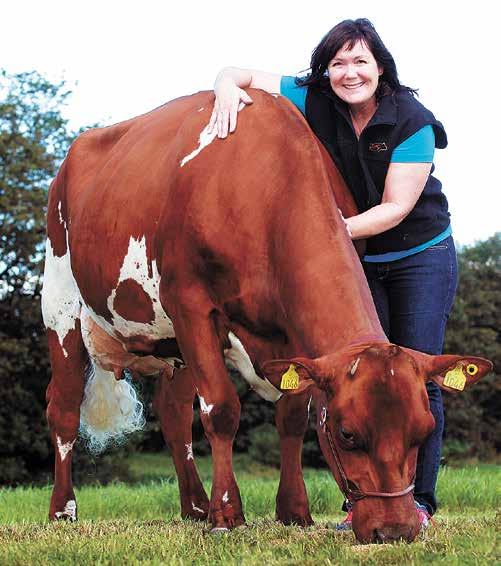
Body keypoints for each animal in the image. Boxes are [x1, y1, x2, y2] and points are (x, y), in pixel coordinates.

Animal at [41, 89, 492, 543]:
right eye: (347, 434)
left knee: (173, 413)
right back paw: (63, 510)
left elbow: (291, 417)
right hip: (61, 303)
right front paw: (227, 515)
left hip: (172, 342)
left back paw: (195, 506)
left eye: (423, 431)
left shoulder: (292, 338)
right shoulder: (189, 303)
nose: (396, 529)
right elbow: (221, 409)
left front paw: (293, 511)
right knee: (63, 407)